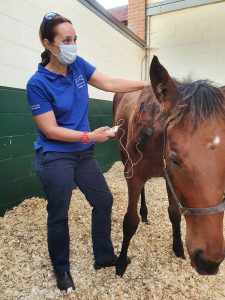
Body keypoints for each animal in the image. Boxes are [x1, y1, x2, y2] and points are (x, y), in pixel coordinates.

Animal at [113, 56, 225, 276]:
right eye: (174, 158)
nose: (209, 261)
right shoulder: (134, 174)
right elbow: (130, 221)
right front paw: (121, 262)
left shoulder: (169, 178)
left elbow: (174, 214)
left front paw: (178, 247)